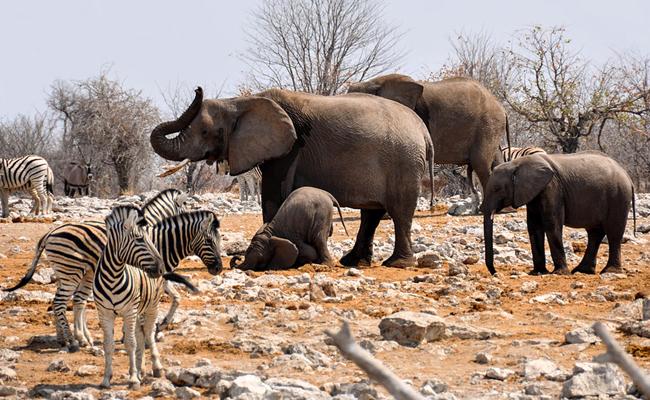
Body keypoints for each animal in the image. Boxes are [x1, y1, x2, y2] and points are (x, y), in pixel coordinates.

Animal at [150, 88, 432, 268]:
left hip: (404, 162)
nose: (198, 89)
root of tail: (422, 130)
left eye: (207, 132)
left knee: (399, 211)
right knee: (372, 213)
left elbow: (273, 194)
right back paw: (353, 262)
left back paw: (398, 264)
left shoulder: (290, 147)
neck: (241, 101)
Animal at [480, 152, 632, 276]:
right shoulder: (534, 193)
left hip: (618, 196)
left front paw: (560, 273)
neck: (516, 164)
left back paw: (610, 272)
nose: (495, 272)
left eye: (497, 189)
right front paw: (538, 272)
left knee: (613, 232)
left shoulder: (552, 188)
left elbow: (552, 225)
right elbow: (534, 227)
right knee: (595, 233)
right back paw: (583, 271)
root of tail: (627, 175)